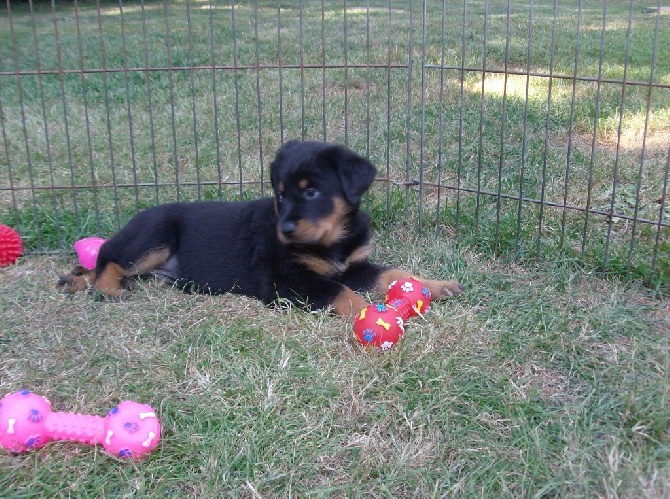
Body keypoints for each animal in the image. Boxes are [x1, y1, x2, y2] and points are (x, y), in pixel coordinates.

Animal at [59, 141, 462, 318]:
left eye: (311, 192)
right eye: (280, 194)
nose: (285, 229)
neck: (332, 241)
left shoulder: (355, 265)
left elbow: (394, 273)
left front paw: (439, 286)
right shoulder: (289, 282)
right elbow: (341, 293)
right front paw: (372, 315)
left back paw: (74, 281)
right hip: (154, 234)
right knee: (109, 255)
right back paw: (109, 290)